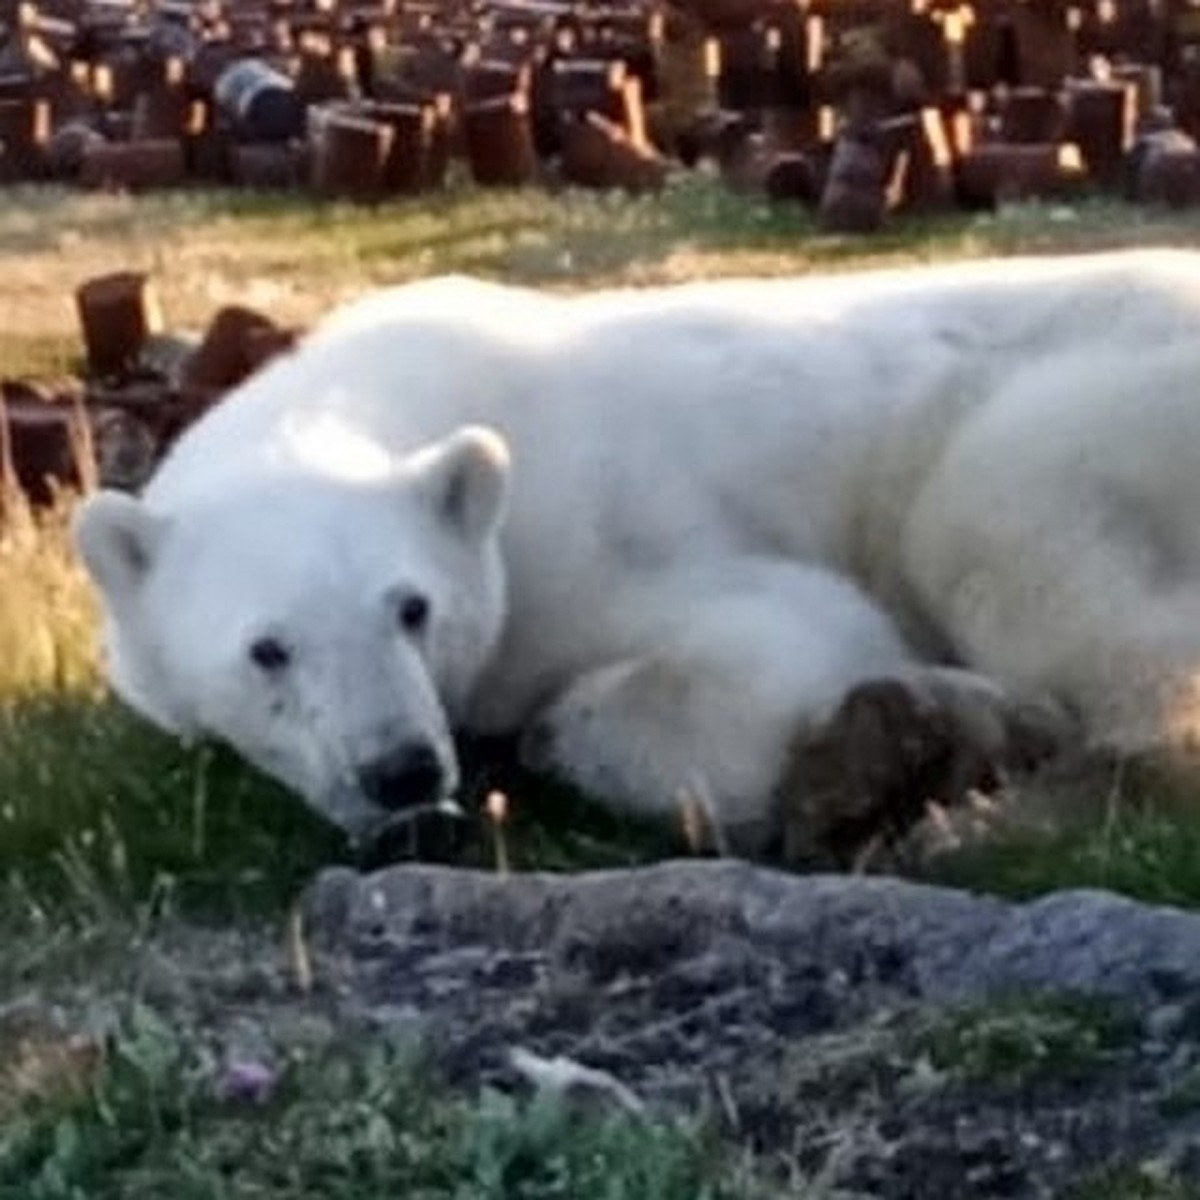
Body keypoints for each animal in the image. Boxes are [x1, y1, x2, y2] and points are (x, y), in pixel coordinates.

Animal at [75, 250, 1200, 854]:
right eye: (268, 649)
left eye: (413, 607)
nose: (400, 771)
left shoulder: (592, 532)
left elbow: (783, 644)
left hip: (1087, 406)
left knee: (1009, 539)